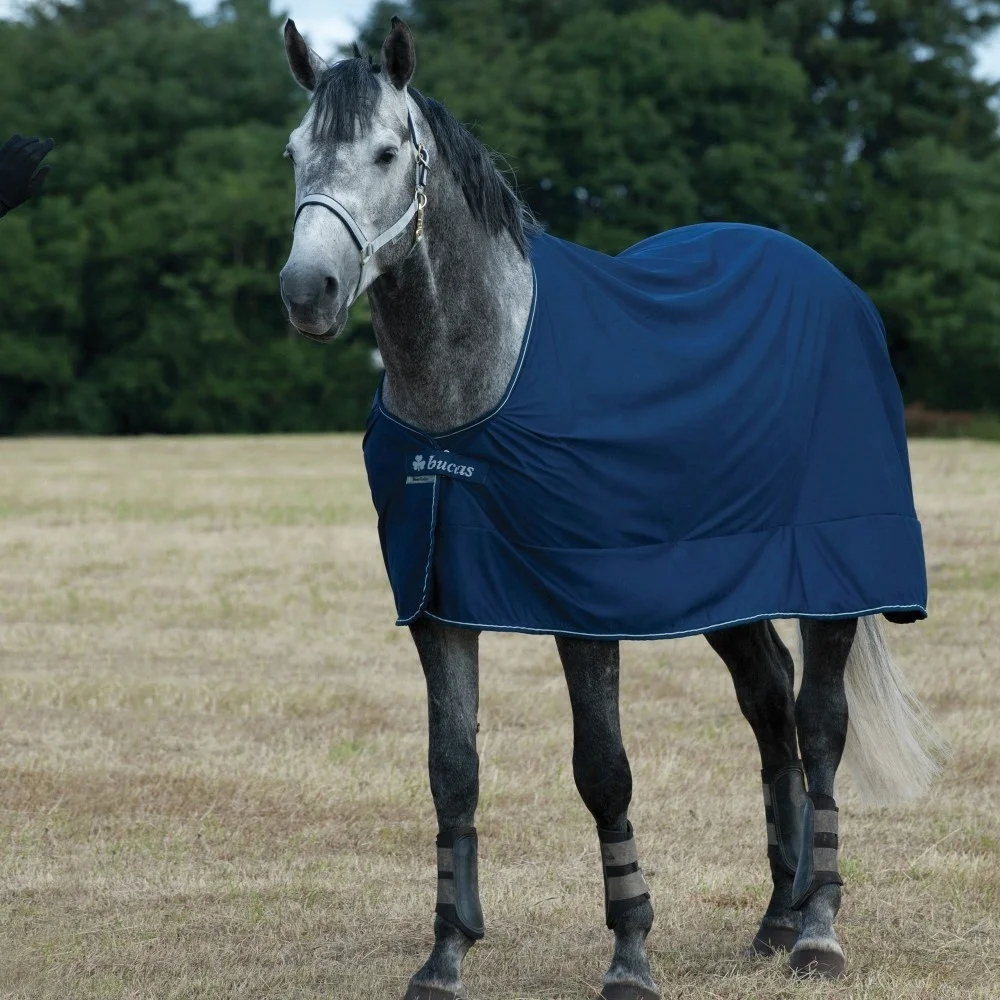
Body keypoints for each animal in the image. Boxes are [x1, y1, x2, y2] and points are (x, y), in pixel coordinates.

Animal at [278, 17, 941, 999]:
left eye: (388, 152)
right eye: (295, 153)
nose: (307, 291)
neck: (476, 380)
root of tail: (833, 284)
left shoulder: (583, 607)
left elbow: (603, 772)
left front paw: (630, 956)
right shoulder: (439, 606)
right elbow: (452, 769)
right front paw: (444, 955)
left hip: (832, 579)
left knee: (819, 726)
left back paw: (819, 930)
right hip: (724, 581)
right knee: (768, 709)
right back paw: (777, 916)